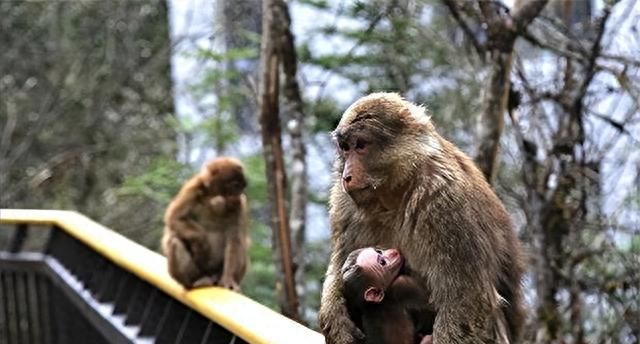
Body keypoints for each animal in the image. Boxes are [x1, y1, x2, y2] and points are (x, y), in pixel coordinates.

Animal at [161, 158, 249, 290]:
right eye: (235, 185)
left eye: (241, 187)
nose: (238, 194)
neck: (211, 195)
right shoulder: (193, 188)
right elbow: (174, 218)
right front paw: (202, 244)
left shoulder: (239, 204)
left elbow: (235, 239)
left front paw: (228, 279)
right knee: (174, 241)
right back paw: (197, 280)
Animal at [320, 92, 524, 342]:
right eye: (345, 148)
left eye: (361, 145)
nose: (347, 176)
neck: (396, 193)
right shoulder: (343, 202)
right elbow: (340, 266)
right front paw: (336, 324)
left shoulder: (446, 201)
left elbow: (467, 300)